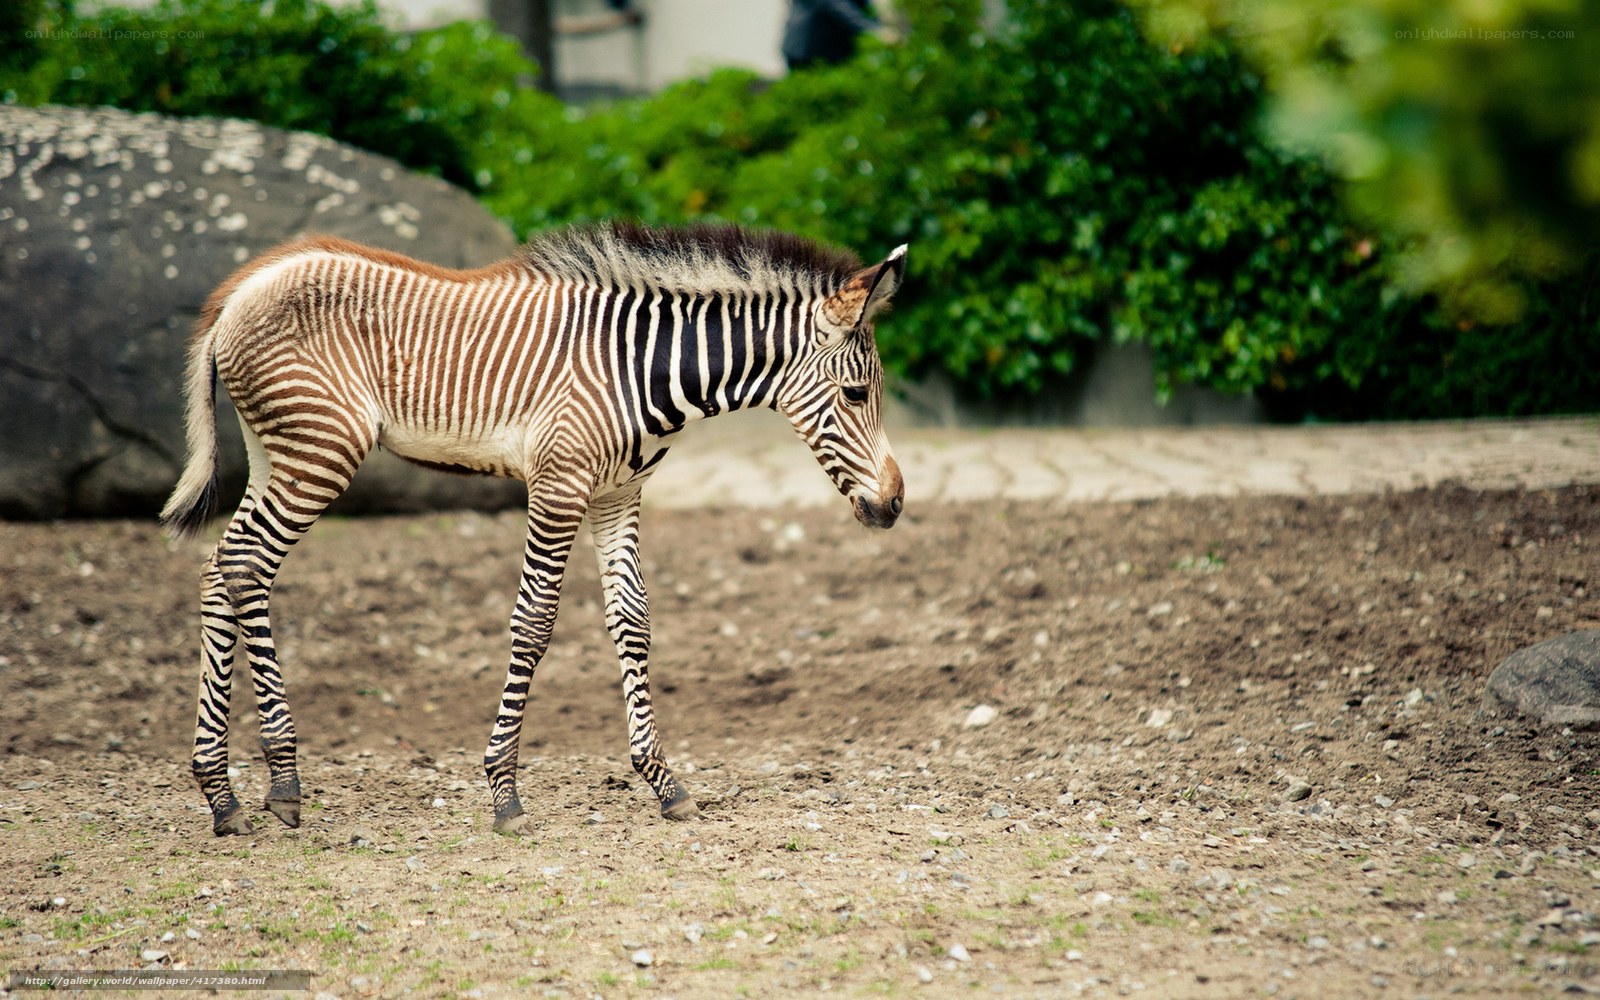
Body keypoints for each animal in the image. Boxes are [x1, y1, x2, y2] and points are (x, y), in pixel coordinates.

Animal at [160, 221, 907, 836]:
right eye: (856, 394)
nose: (896, 505)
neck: (644, 369)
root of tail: (241, 289)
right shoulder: (560, 485)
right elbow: (535, 621)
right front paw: (504, 792)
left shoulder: (618, 493)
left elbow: (632, 620)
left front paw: (663, 783)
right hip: (320, 449)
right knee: (247, 564)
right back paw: (283, 782)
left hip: (276, 451)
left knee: (221, 569)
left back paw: (222, 795)